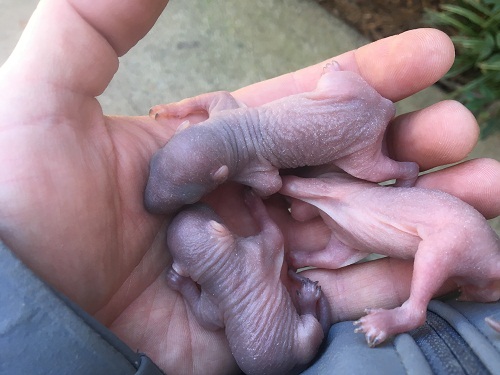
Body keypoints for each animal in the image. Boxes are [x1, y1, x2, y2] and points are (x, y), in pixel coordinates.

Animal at [145, 61, 418, 214]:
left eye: (189, 199)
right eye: (152, 163)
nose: (149, 206)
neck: (228, 134)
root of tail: (383, 107)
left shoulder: (252, 167)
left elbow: (271, 184)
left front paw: (254, 196)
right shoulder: (224, 110)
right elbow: (214, 95)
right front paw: (169, 109)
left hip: (362, 151)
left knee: (375, 171)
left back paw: (406, 179)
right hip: (345, 88)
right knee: (335, 79)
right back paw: (332, 68)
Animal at [165, 191, 332, 375]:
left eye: (200, 209)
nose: (190, 204)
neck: (220, 267)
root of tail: (293, 367)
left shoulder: (213, 301)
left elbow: (204, 318)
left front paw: (177, 279)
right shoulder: (257, 250)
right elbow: (275, 233)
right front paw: (254, 202)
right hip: (305, 339)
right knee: (312, 325)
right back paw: (308, 297)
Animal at [280, 172, 498, 348]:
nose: (291, 207)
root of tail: (493, 257)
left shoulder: (336, 186)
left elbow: (298, 185)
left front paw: (281, 181)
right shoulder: (345, 241)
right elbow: (332, 258)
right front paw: (292, 258)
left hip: (450, 243)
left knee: (421, 292)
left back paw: (379, 322)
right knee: (483, 292)